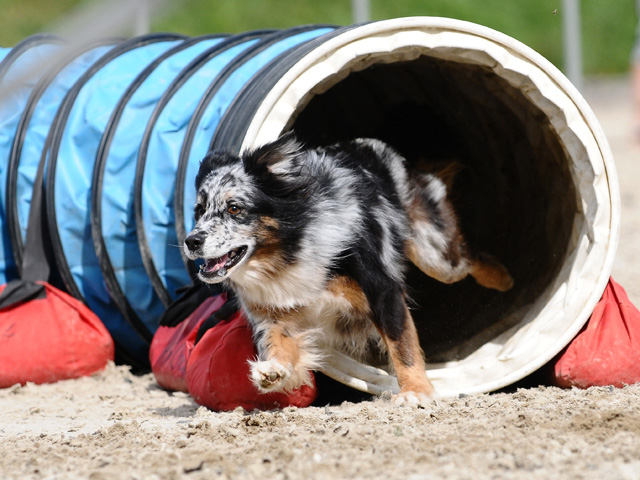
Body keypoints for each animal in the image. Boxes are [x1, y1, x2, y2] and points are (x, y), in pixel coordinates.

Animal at [182, 132, 512, 404]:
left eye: (235, 208)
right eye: (199, 211)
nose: (191, 241)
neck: (288, 251)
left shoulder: (383, 291)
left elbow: (402, 346)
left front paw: (415, 391)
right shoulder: (274, 312)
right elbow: (278, 343)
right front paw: (274, 370)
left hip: (436, 255)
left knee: (467, 256)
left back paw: (502, 277)